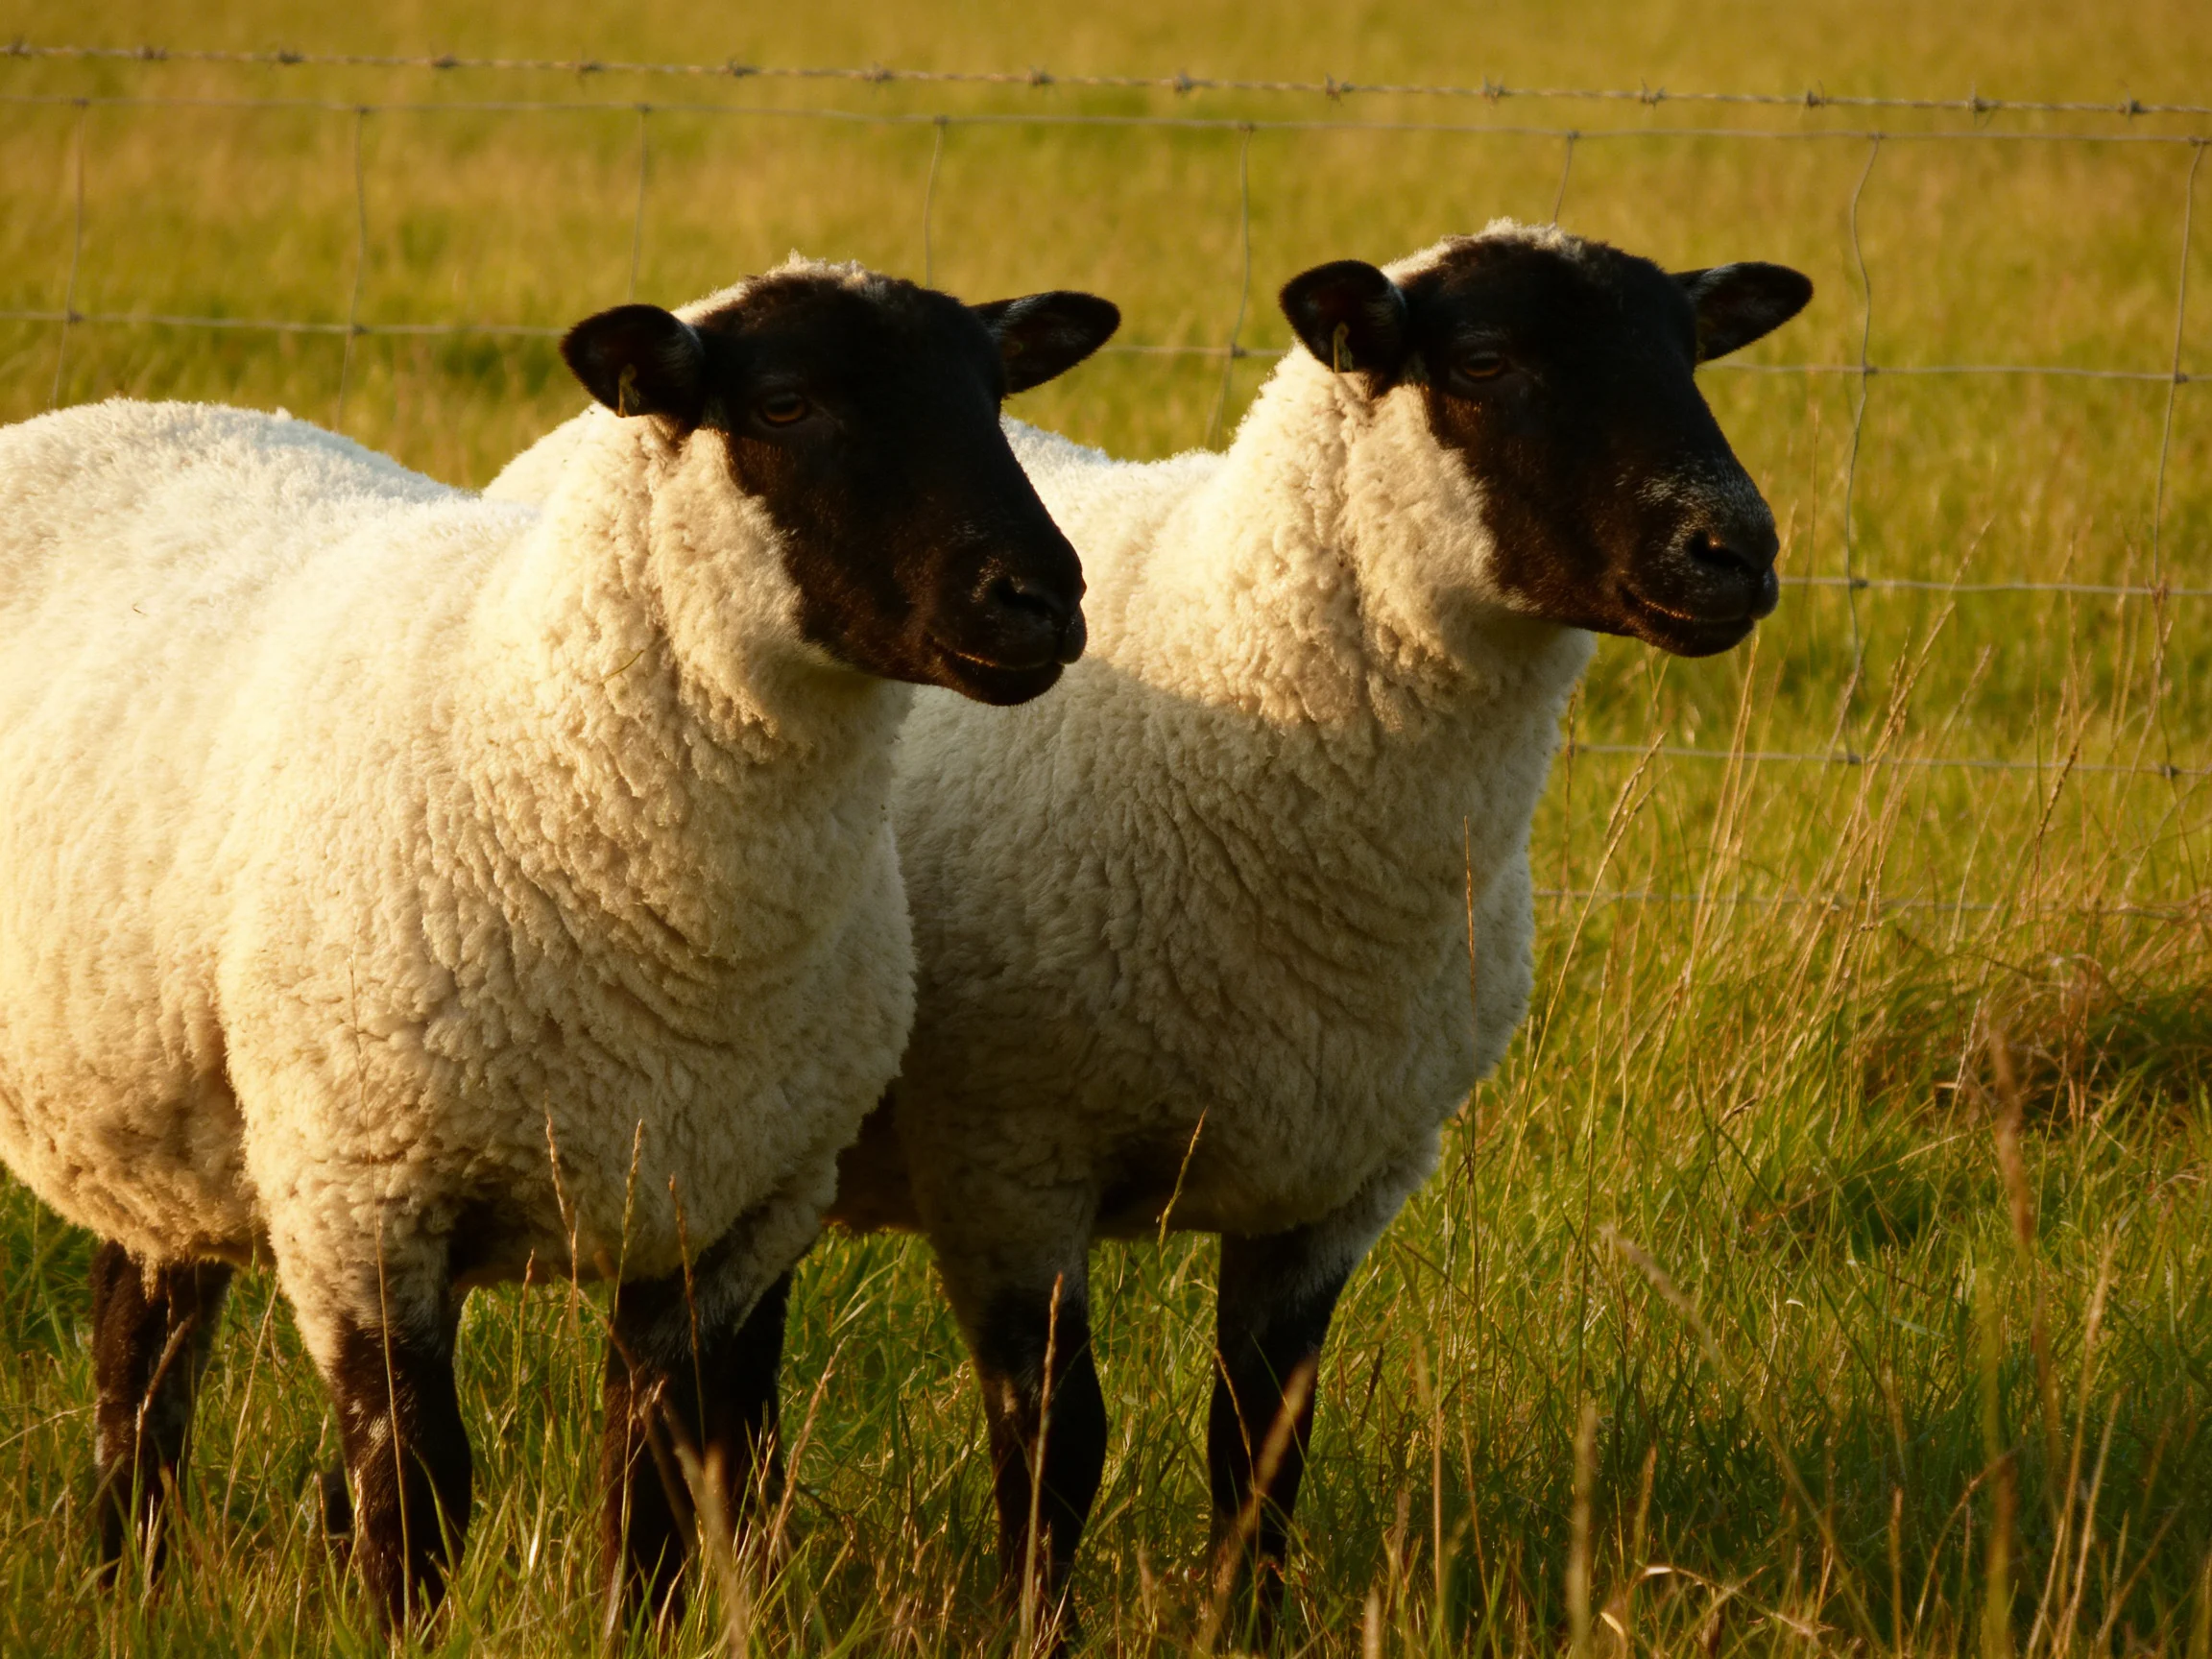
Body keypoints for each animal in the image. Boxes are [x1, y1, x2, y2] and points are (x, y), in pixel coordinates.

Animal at [0, 259, 1120, 1631]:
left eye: (994, 394)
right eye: (786, 404)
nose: (1040, 603)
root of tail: (109, 406)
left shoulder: (727, 1216)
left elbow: (649, 1485)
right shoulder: (360, 1199)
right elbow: (416, 1486)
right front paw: (403, 1632)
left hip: (161, 1123)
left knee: (140, 1344)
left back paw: (128, 1589)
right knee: (142, 1373)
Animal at [806, 221, 1813, 1633]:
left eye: (1691, 350)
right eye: (1484, 361)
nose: (1735, 550)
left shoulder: (1341, 1185)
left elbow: (1262, 1443)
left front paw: (1246, 1627)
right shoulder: (1008, 1161)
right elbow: (1056, 1444)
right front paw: (1038, 1628)